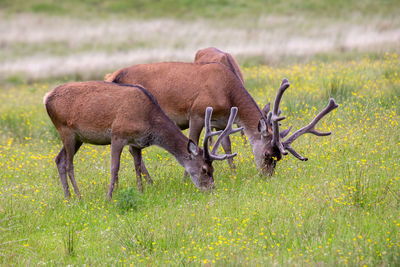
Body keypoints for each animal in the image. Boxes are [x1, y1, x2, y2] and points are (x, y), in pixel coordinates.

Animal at [43, 81, 241, 199]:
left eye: (213, 169)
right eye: (204, 169)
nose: (212, 189)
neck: (148, 120)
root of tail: (46, 97)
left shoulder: (136, 142)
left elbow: (137, 166)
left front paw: (140, 191)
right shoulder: (118, 134)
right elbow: (115, 167)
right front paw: (109, 197)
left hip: (78, 137)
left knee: (59, 159)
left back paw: (68, 197)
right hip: (65, 129)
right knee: (68, 164)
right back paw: (78, 196)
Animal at [104, 61, 340, 177]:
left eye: (279, 158)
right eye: (267, 154)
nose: (267, 176)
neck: (227, 93)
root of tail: (111, 75)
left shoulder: (222, 121)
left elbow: (226, 146)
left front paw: (233, 174)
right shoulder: (197, 113)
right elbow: (193, 144)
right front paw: (188, 178)